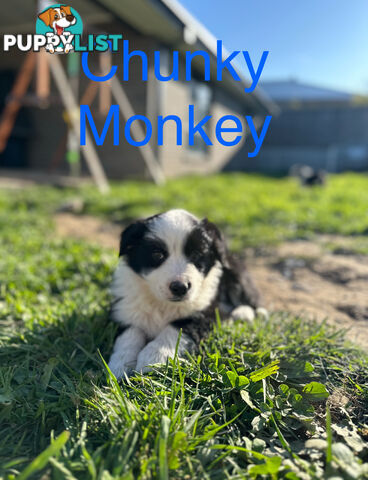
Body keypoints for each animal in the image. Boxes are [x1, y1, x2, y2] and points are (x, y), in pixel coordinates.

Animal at [108, 210, 266, 378]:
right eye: (158, 255)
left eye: (196, 254)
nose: (180, 287)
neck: (163, 303)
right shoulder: (125, 309)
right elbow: (129, 334)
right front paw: (120, 364)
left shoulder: (205, 311)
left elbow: (178, 327)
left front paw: (154, 356)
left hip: (236, 272)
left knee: (252, 301)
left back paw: (243, 313)